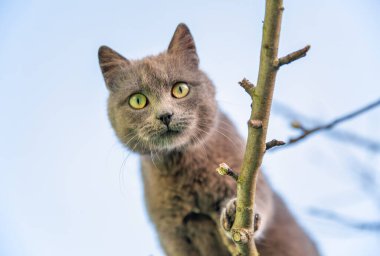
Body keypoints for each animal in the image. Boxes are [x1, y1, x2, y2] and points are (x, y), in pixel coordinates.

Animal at [97, 23, 318, 255]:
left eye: (180, 89)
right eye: (138, 100)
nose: (165, 115)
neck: (183, 167)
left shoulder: (244, 171)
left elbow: (257, 201)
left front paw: (233, 215)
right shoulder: (170, 231)